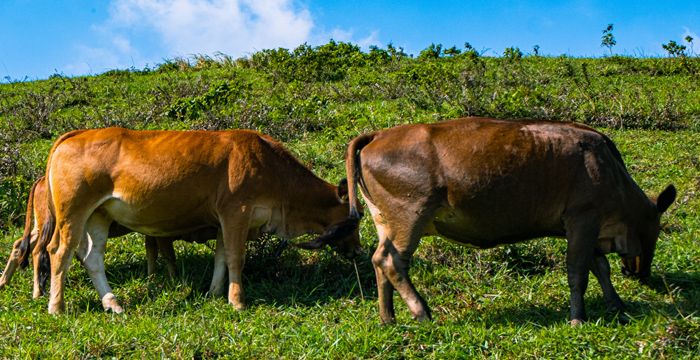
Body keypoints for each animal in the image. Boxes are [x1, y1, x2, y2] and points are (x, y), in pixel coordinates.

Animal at [0, 176, 216, 296]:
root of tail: (42, 180)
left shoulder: (151, 233)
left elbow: (152, 253)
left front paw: (152, 277)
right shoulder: (162, 234)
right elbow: (168, 255)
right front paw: (174, 279)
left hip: (39, 226)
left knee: (20, 245)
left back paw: (4, 282)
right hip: (51, 226)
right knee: (39, 251)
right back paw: (38, 292)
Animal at [42, 128, 360, 314]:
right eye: (353, 222)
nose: (358, 250)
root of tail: (75, 135)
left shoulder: (224, 220)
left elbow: (221, 258)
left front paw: (214, 292)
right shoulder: (236, 212)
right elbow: (235, 258)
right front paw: (237, 301)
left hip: (99, 215)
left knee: (92, 258)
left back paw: (113, 303)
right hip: (74, 212)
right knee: (60, 252)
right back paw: (56, 306)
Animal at [328, 116, 680, 324]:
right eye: (656, 230)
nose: (641, 274)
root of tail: (378, 135)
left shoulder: (587, 227)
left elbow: (600, 268)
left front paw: (616, 305)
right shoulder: (584, 218)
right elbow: (578, 272)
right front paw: (578, 318)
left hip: (384, 220)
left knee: (378, 259)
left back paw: (388, 317)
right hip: (411, 214)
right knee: (392, 261)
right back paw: (421, 311)